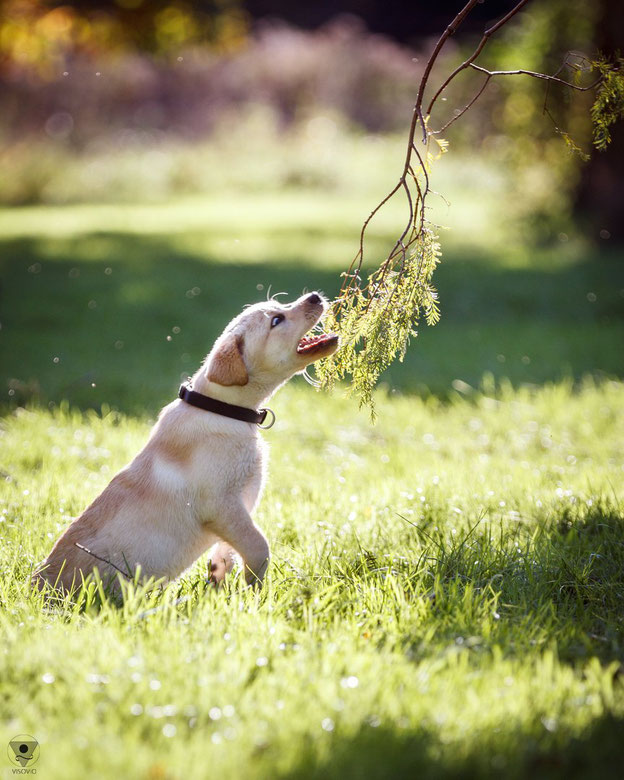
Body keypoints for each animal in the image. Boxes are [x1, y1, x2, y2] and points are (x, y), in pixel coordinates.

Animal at [32, 290, 338, 592]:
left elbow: (229, 549)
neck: (222, 409)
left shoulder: (242, 501)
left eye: (279, 306)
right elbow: (258, 544)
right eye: (276, 320)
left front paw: (220, 581)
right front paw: (255, 589)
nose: (314, 296)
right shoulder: (220, 504)